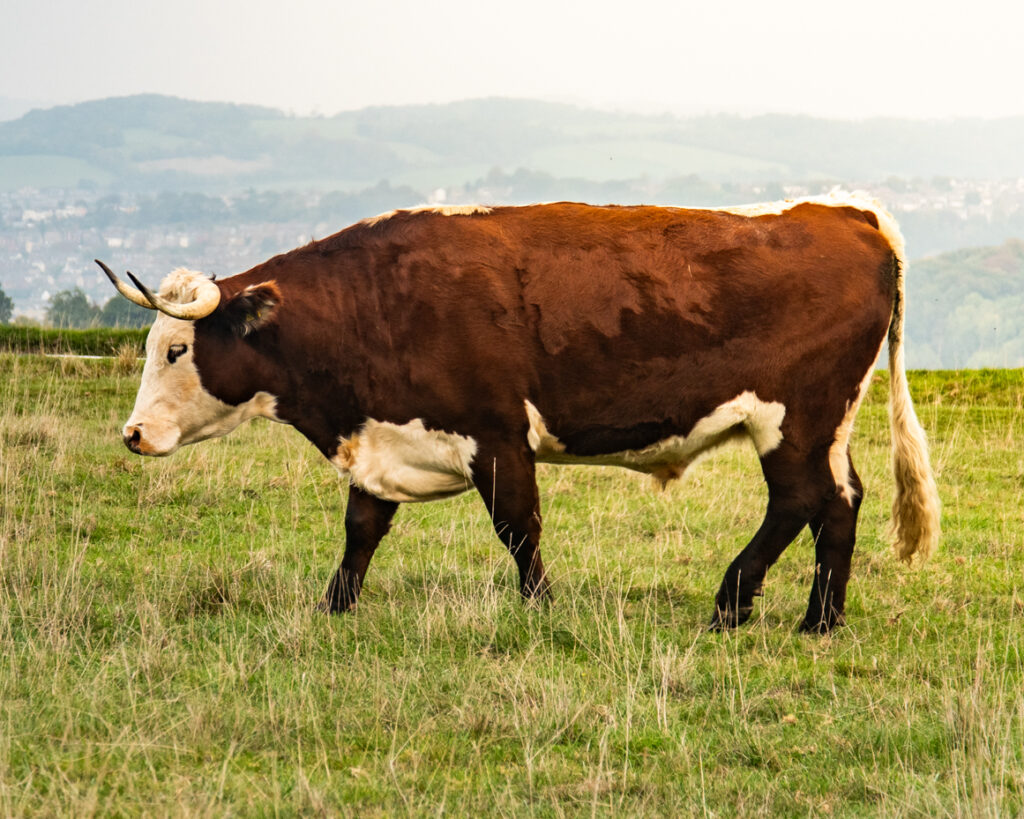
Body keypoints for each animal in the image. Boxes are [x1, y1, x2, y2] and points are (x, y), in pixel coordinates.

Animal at [98, 192, 940, 633]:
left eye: (177, 348)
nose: (134, 435)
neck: (377, 305)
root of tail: (844, 212)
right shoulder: (382, 440)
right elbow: (361, 529)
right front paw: (335, 606)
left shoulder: (497, 434)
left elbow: (518, 526)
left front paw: (540, 605)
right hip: (826, 422)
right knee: (841, 500)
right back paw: (820, 618)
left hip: (794, 417)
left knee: (801, 498)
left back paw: (733, 602)